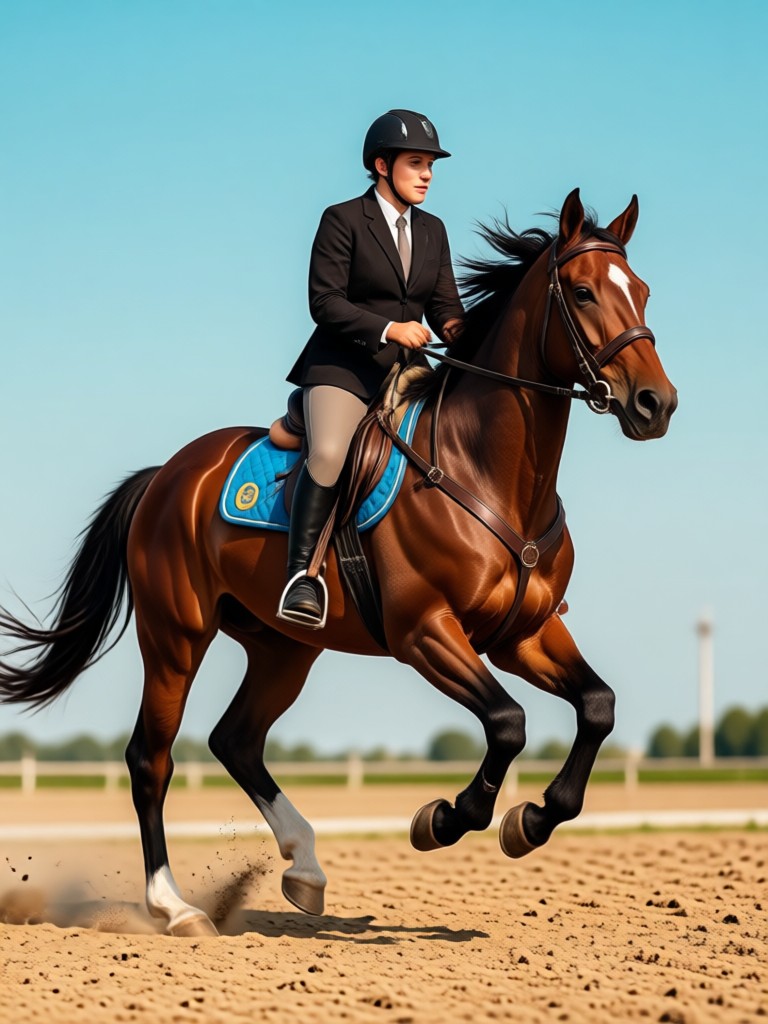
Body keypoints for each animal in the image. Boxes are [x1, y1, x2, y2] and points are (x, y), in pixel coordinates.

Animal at [0, 189, 677, 936]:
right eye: (582, 292)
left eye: (642, 290)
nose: (657, 404)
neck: (488, 474)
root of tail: (167, 475)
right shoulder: (425, 632)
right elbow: (508, 723)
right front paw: (444, 820)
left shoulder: (524, 634)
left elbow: (598, 707)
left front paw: (530, 821)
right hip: (176, 635)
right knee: (151, 758)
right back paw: (176, 908)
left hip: (283, 647)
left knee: (236, 740)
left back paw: (304, 868)